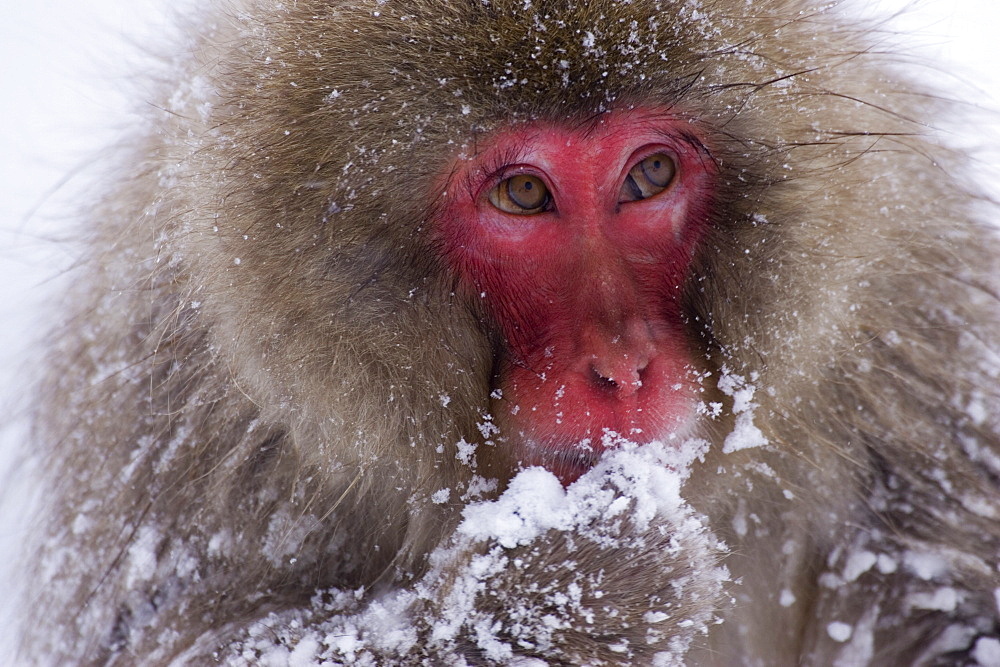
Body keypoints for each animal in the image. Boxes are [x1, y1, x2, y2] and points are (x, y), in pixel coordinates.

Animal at [17, 0, 1000, 664]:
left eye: (648, 175)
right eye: (523, 193)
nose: (623, 366)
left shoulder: (908, 328)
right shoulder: (177, 417)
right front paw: (572, 595)